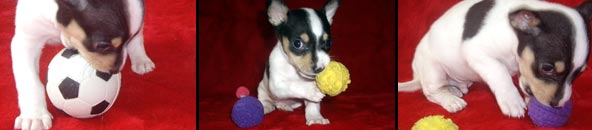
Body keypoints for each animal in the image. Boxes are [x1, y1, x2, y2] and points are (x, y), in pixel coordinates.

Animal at [11, 0, 155, 129]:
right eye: (103, 46)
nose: (115, 71)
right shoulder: (26, 41)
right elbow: (31, 83)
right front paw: (34, 116)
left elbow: (136, 36)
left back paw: (141, 59)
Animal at [398, 0, 592, 118]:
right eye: (547, 68)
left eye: (579, 74)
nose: (557, 105)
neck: (512, 32)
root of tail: (417, 76)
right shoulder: (477, 52)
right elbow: (501, 75)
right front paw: (512, 100)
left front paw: (527, 97)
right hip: (434, 70)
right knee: (431, 93)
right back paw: (450, 100)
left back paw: (454, 89)